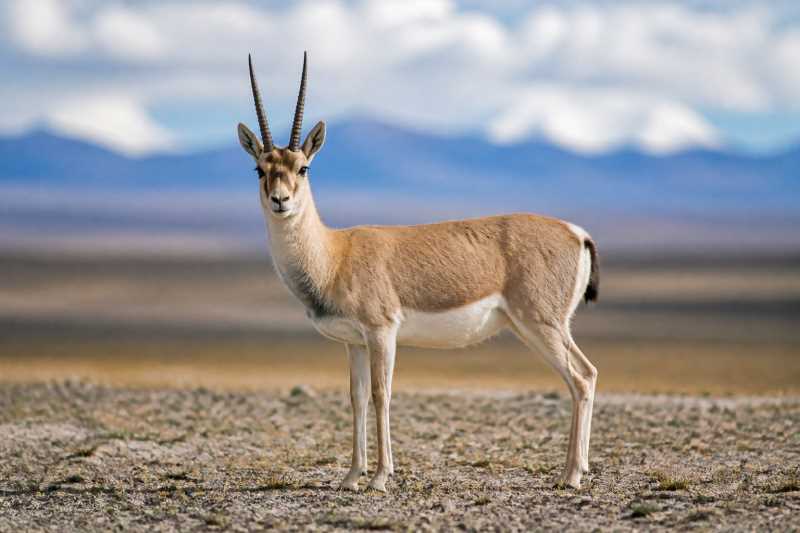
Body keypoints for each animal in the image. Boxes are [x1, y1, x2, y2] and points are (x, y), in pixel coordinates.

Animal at [237, 53, 599, 492]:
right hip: (537, 327)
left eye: (303, 167)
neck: (334, 254)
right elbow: (357, 398)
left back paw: (571, 475)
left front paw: (379, 477)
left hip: (542, 324)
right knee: (584, 376)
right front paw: (351, 476)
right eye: (260, 169)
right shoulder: (354, 343)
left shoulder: (382, 332)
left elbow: (382, 394)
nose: (280, 201)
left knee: (581, 378)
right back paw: (577, 469)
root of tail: (576, 233)